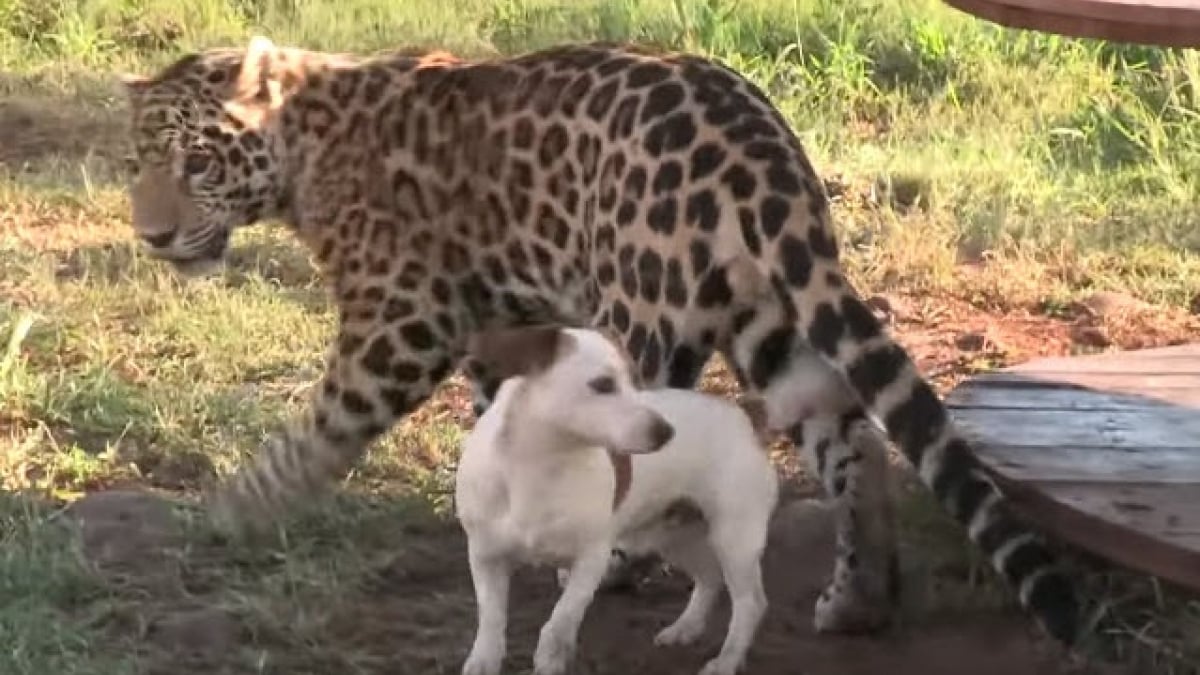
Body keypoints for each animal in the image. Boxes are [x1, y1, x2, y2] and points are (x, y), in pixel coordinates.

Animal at [453, 324, 782, 667]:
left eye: (635, 381)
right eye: (603, 385)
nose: (667, 432)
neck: (536, 467)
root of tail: (743, 415)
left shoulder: (591, 560)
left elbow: (559, 621)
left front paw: (550, 658)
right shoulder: (485, 558)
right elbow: (491, 620)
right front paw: (483, 661)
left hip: (734, 540)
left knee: (750, 603)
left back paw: (727, 659)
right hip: (675, 537)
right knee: (709, 579)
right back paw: (685, 628)